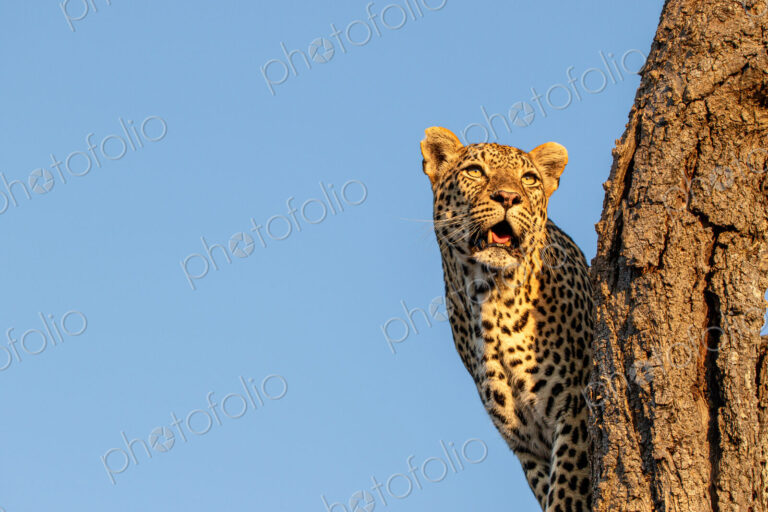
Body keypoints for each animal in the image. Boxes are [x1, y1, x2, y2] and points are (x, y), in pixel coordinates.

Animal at [420, 127, 594, 512]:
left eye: (529, 179)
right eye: (475, 172)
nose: (508, 197)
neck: (491, 298)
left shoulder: (575, 406)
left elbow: (567, 489)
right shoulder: (526, 445)